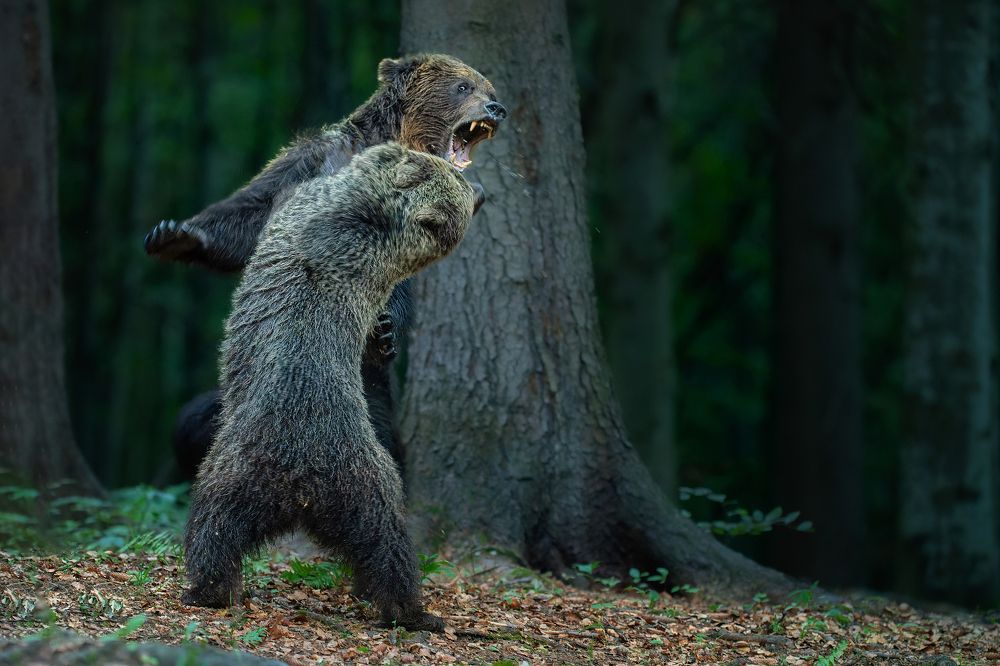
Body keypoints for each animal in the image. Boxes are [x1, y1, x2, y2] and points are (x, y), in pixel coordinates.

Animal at [145, 53, 505, 478]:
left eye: (489, 88)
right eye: (463, 87)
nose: (496, 108)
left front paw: (385, 329)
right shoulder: (311, 162)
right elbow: (252, 211)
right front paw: (175, 234)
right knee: (198, 419)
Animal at [182, 142, 484, 632]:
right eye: (457, 180)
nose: (478, 190)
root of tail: (307, 482)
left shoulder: (312, 209)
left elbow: (289, 196)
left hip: (244, 464)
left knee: (213, 525)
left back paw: (206, 589)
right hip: (367, 489)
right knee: (387, 547)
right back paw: (410, 609)